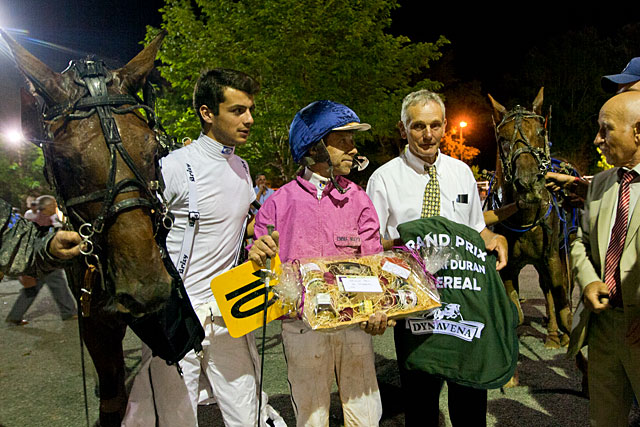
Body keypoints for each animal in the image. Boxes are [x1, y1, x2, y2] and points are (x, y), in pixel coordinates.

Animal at [488, 87, 572, 354]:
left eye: (541, 131)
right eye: (502, 138)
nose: (528, 184)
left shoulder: (551, 257)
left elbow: (562, 303)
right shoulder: (507, 265)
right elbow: (516, 312)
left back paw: (556, 335)